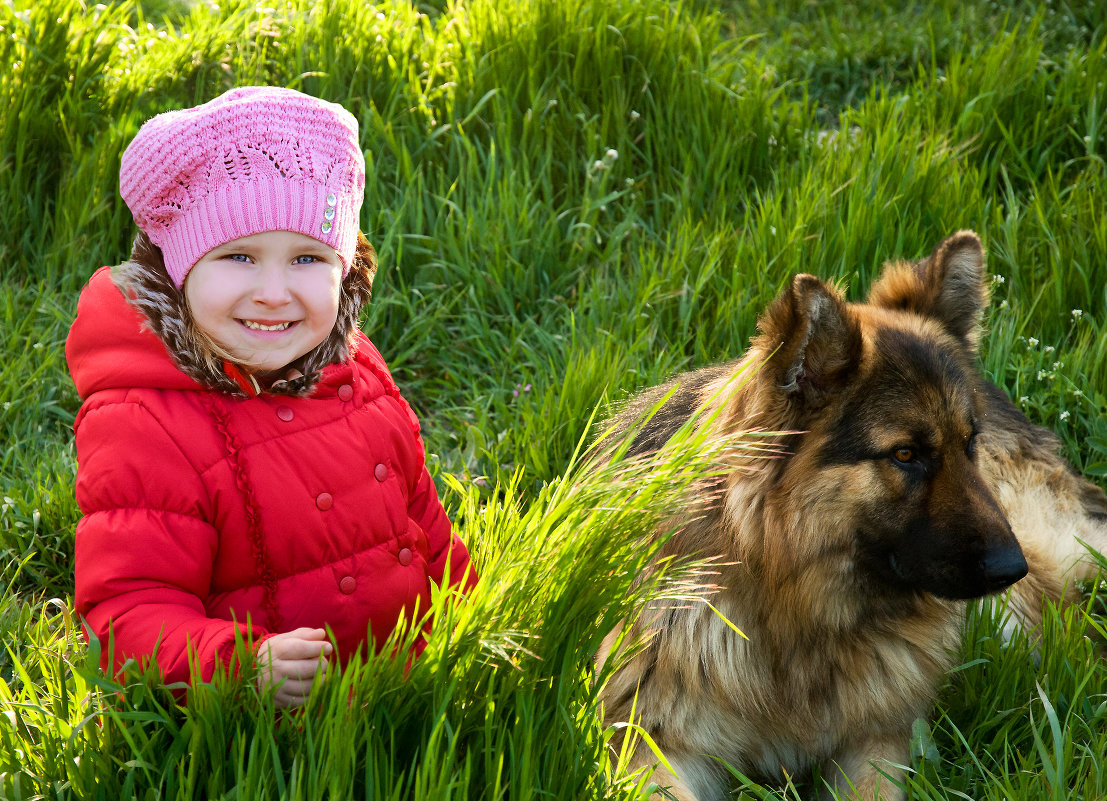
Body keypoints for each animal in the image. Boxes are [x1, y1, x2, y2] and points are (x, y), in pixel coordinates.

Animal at [597, 231, 1107, 801]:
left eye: (968, 443)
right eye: (905, 454)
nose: (1010, 568)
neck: (794, 611)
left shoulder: (875, 741)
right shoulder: (654, 742)